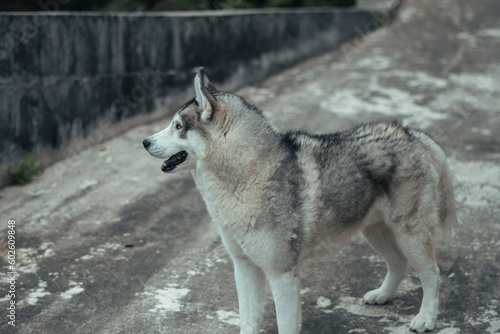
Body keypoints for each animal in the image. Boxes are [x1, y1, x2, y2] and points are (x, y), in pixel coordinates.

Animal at [142, 68, 458, 334]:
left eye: (177, 126)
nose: (144, 142)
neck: (249, 174)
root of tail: (412, 134)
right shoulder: (245, 269)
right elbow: (247, 320)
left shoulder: (281, 276)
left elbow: (285, 325)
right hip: (374, 231)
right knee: (399, 264)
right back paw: (382, 295)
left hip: (409, 235)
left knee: (432, 275)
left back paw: (425, 319)